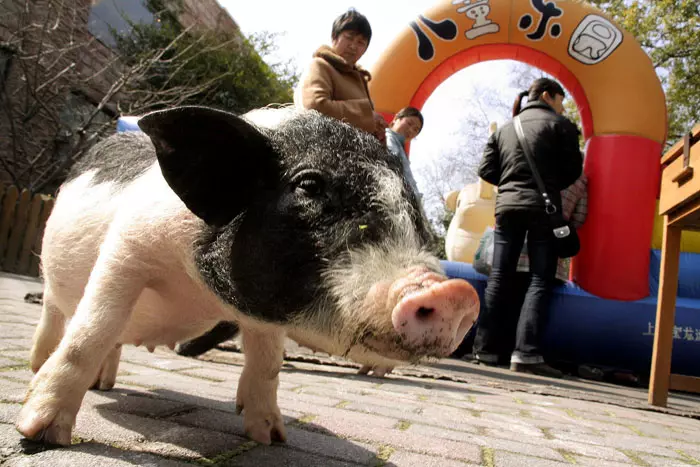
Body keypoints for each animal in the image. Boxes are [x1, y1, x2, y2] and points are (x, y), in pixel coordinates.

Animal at [16, 105, 478, 446]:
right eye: (308, 186)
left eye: (411, 206)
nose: (455, 293)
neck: (198, 291)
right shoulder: (126, 250)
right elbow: (90, 332)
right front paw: (38, 434)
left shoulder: (267, 313)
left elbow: (268, 364)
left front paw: (273, 438)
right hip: (52, 277)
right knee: (59, 317)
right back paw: (39, 369)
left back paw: (106, 385)